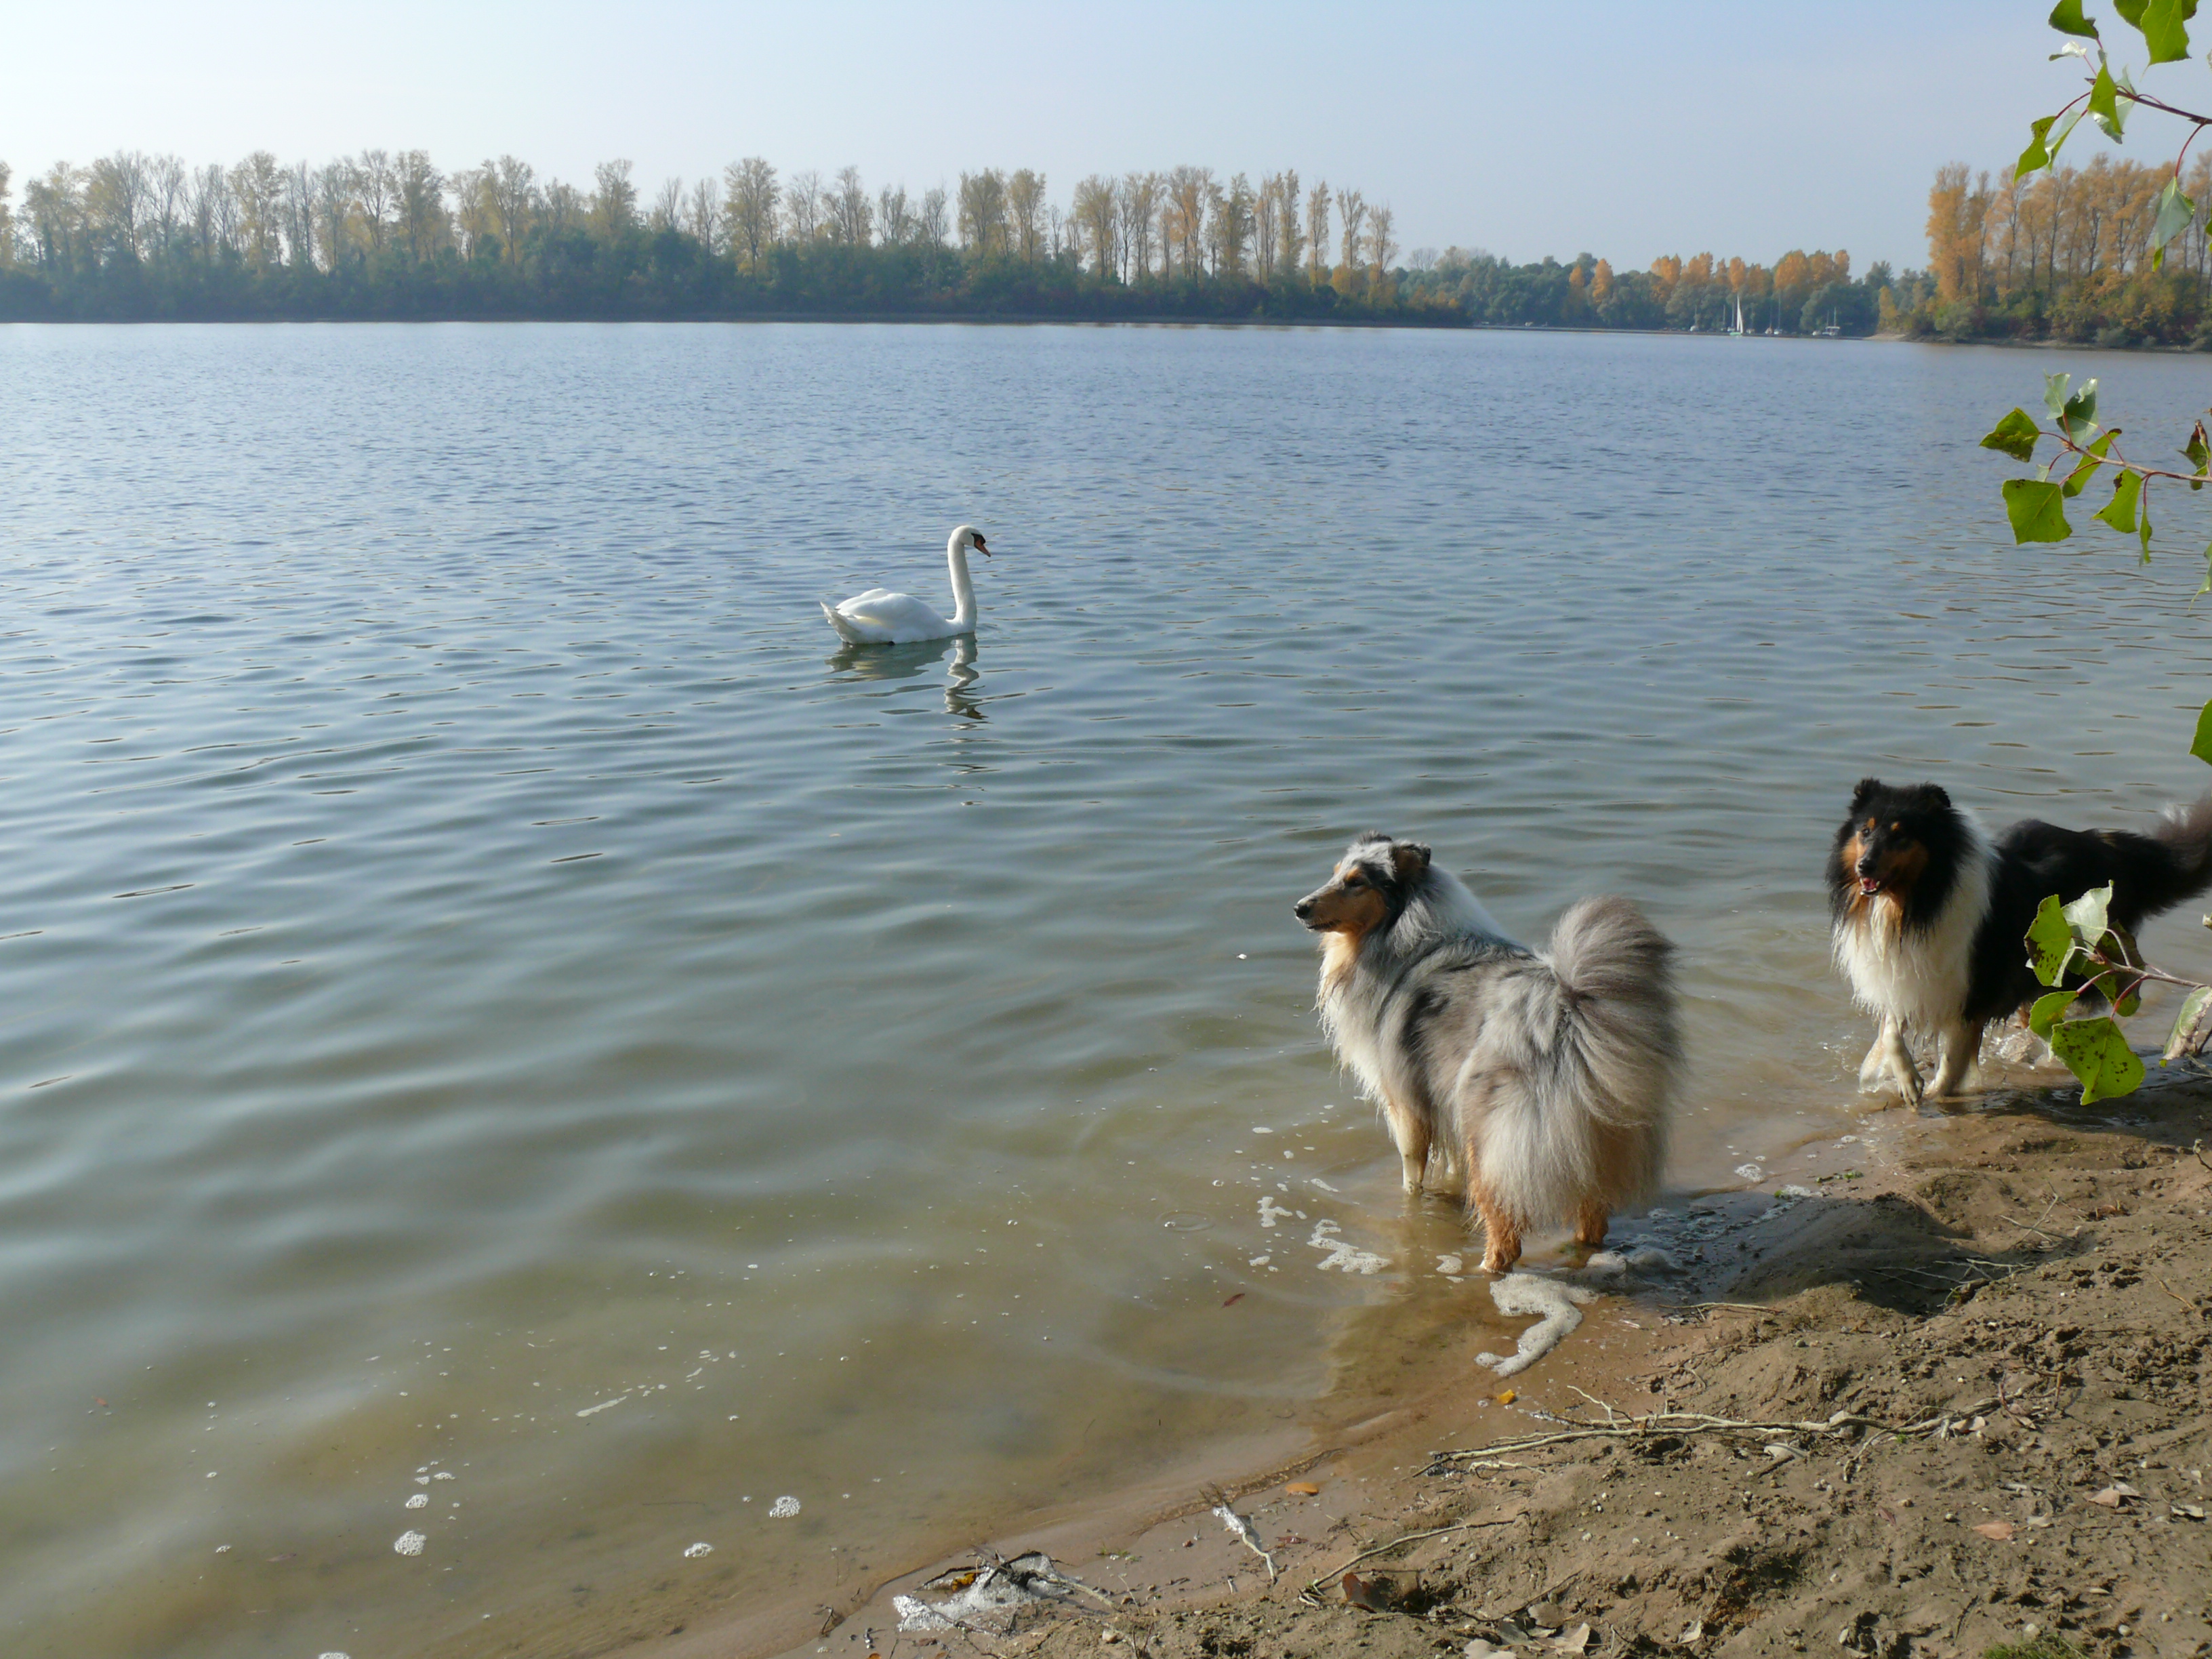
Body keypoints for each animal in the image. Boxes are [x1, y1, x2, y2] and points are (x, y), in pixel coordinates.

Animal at [1294, 833, 1683, 1273]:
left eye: (1357, 882)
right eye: (1335, 874)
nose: (1300, 907)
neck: (1406, 931)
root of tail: (1569, 1014)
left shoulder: (1406, 1104)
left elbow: (1412, 1174)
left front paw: (1411, 1204)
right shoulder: (1442, 1103)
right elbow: (1449, 1166)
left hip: (1493, 1138)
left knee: (1506, 1233)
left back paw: (1485, 1270)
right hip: (1595, 1144)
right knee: (1592, 1222)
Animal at [1828, 778, 2212, 1102]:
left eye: (1901, 835)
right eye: (1865, 831)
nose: (1864, 867)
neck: (1916, 903)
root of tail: (2113, 848)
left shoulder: (1971, 989)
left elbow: (1952, 1062)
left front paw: (1935, 1093)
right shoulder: (1910, 974)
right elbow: (1891, 1031)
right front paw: (1902, 1079)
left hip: (2077, 965)